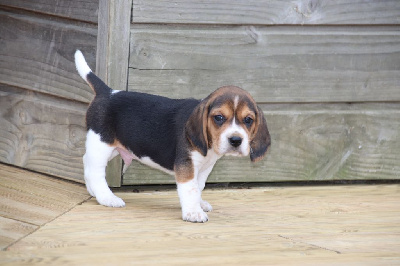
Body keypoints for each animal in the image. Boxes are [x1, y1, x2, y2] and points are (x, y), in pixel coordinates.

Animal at [74, 50, 270, 222]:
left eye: (248, 120)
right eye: (219, 117)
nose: (236, 140)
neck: (209, 148)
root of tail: (107, 92)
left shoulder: (204, 168)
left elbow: (198, 187)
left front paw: (199, 204)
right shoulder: (187, 166)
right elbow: (190, 189)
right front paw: (193, 213)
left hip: (113, 146)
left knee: (86, 161)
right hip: (101, 143)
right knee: (95, 171)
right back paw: (107, 197)